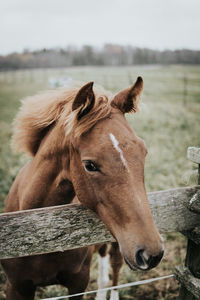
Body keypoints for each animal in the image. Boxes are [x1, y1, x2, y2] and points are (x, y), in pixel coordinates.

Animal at [1, 78, 164, 300]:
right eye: (90, 165)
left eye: (143, 152)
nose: (152, 254)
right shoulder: (16, 286)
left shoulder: (78, 282)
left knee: (114, 271)